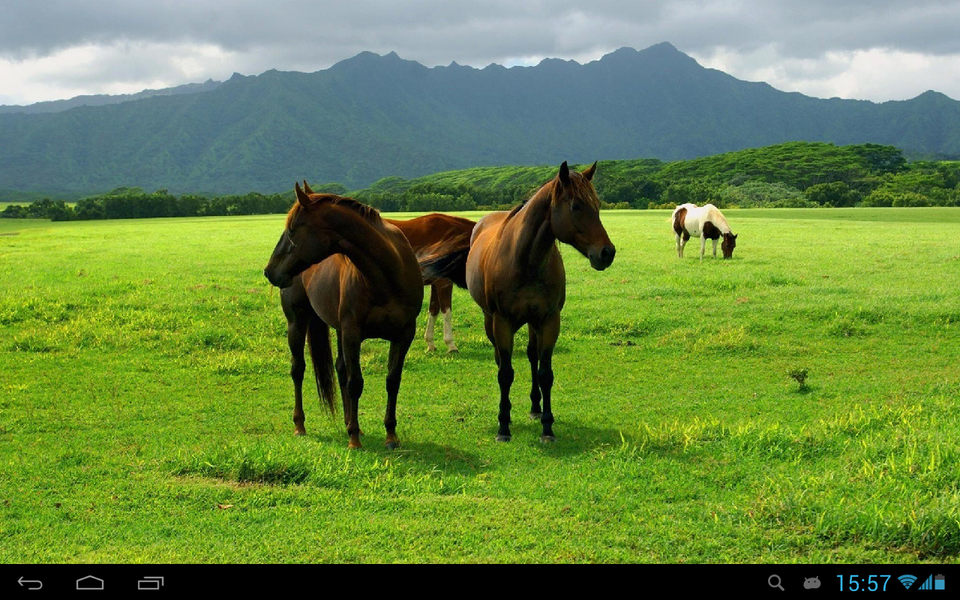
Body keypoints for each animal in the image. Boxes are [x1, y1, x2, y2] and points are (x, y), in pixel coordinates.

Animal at [263, 182, 424, 449]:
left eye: (292, 230)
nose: (269, 271)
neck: (387, 276)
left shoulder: (404, 335)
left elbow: (392, 381)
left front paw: (390, 435)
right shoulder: (352, 333)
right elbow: (355, 382)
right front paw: (354, 439)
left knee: (339, 368)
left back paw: (349, 421)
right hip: (297, 323)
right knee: (298, 369)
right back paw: (300, 425)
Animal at [423, 161, 615, 442]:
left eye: (598, 204)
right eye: (576, 206)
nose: (607, 253)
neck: (526, 261)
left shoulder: (549, 320)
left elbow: (545, 373)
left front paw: (547, 426)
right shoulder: (502, 322)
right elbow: (505, 373)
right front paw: (503, 425)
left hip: (533, 323)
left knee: (532, 356)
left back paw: (535, 408)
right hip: (490, 320)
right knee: (500, 360)